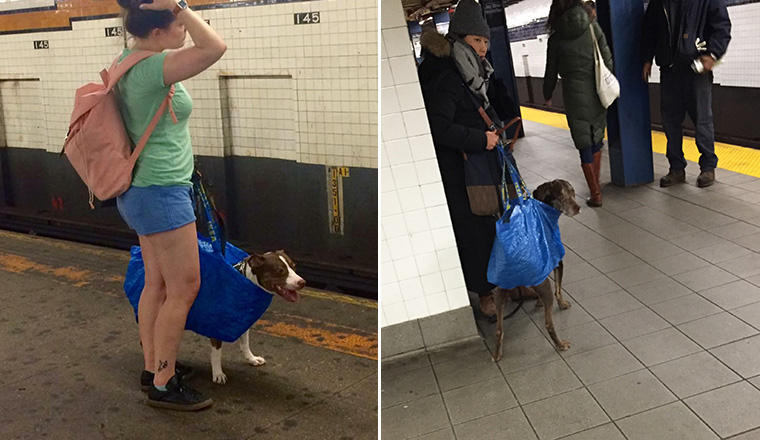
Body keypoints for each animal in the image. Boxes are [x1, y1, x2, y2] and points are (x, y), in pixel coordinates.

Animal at [209, 251, 304, 384]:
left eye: (294, 266)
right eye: (280, 270)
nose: (302, 282)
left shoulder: (243, 321)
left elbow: (245, 344)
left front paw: (252, 359)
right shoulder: (216, 325)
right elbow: (217, 353)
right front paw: (218, 373)